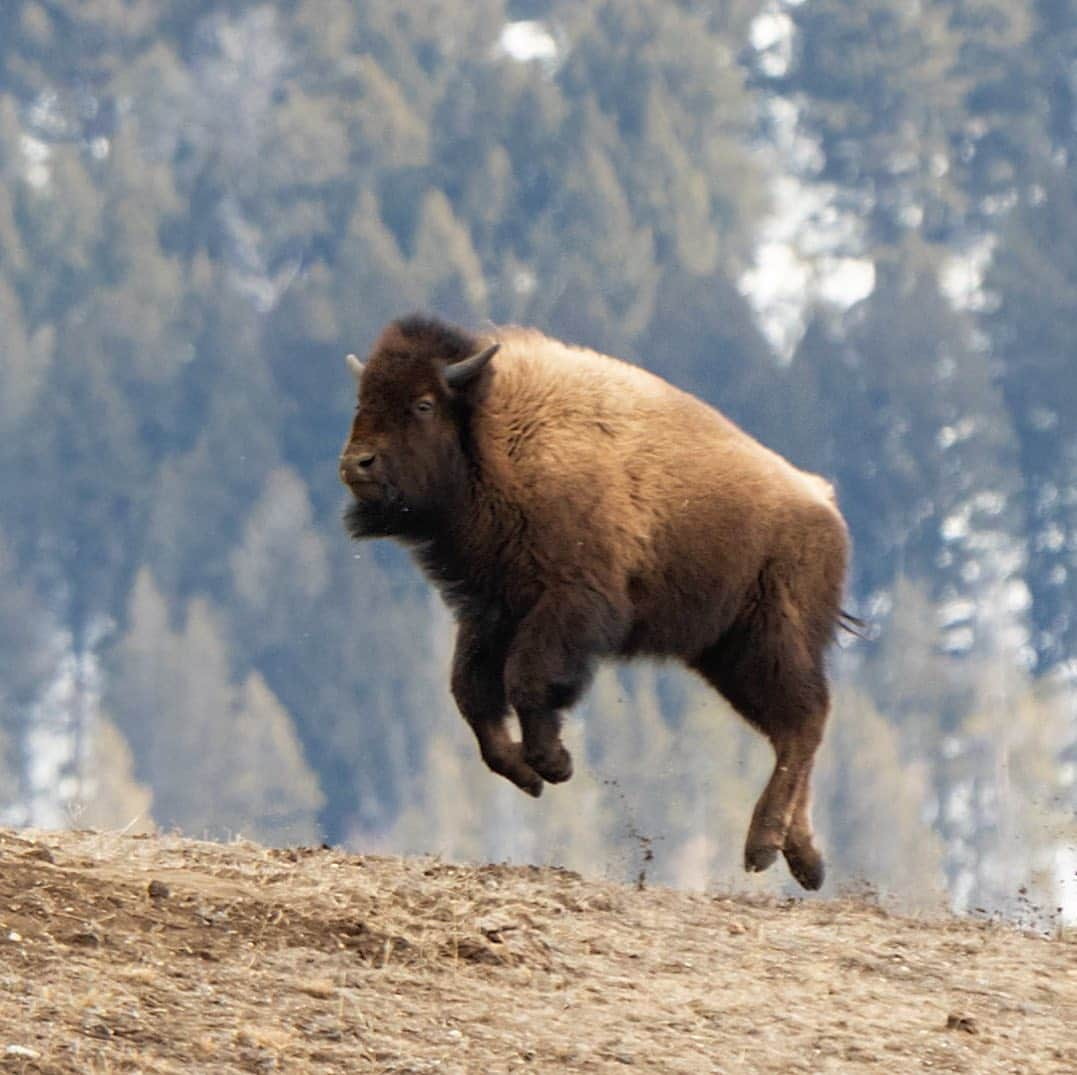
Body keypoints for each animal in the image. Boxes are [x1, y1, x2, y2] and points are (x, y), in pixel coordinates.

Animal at [340, 314, 852, 891]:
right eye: (362, 398)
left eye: (424, 404)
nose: (356, 463)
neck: (496, 434)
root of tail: (823, 505)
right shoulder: (492, 612)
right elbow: (472, 693)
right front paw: (528, 773)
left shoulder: (568, 604)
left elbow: (526, 680)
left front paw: (553, 763)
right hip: (725, 655)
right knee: (790, 732)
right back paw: (804, 860)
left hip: (769, 643)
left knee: (805, 722)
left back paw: (763, 848)